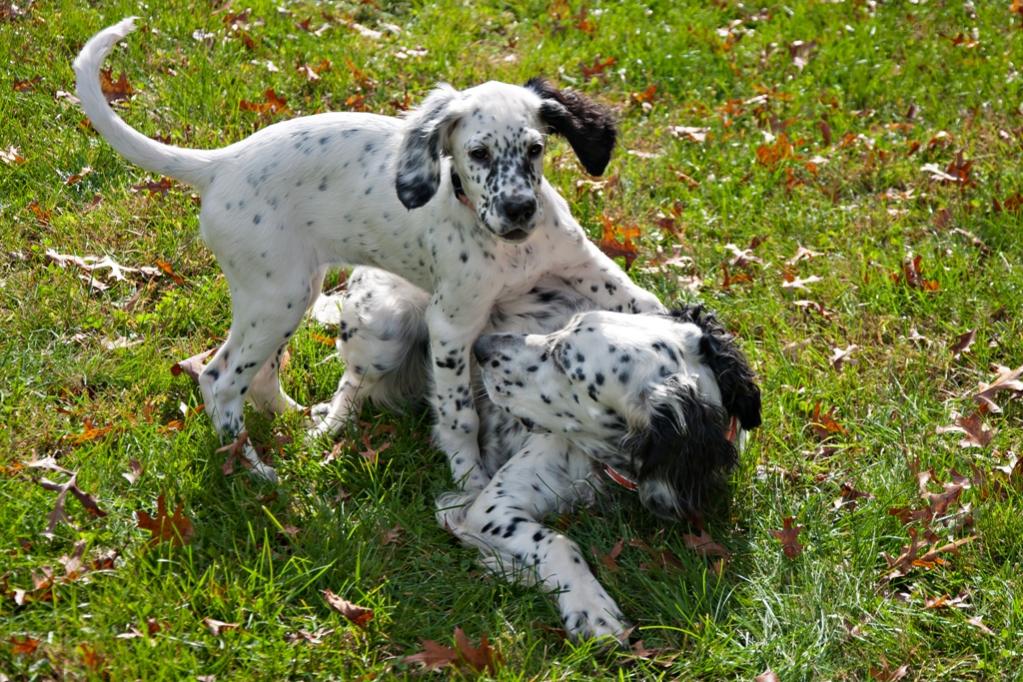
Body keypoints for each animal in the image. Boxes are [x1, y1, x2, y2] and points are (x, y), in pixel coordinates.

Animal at [323, 265, 765, 642]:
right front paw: (590, 607)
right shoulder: (493, 507)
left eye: (564, 363)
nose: (481, 346)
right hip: (385, 330)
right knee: (352, 383)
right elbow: (558, 542)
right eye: (564, 328)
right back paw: (329, 426)